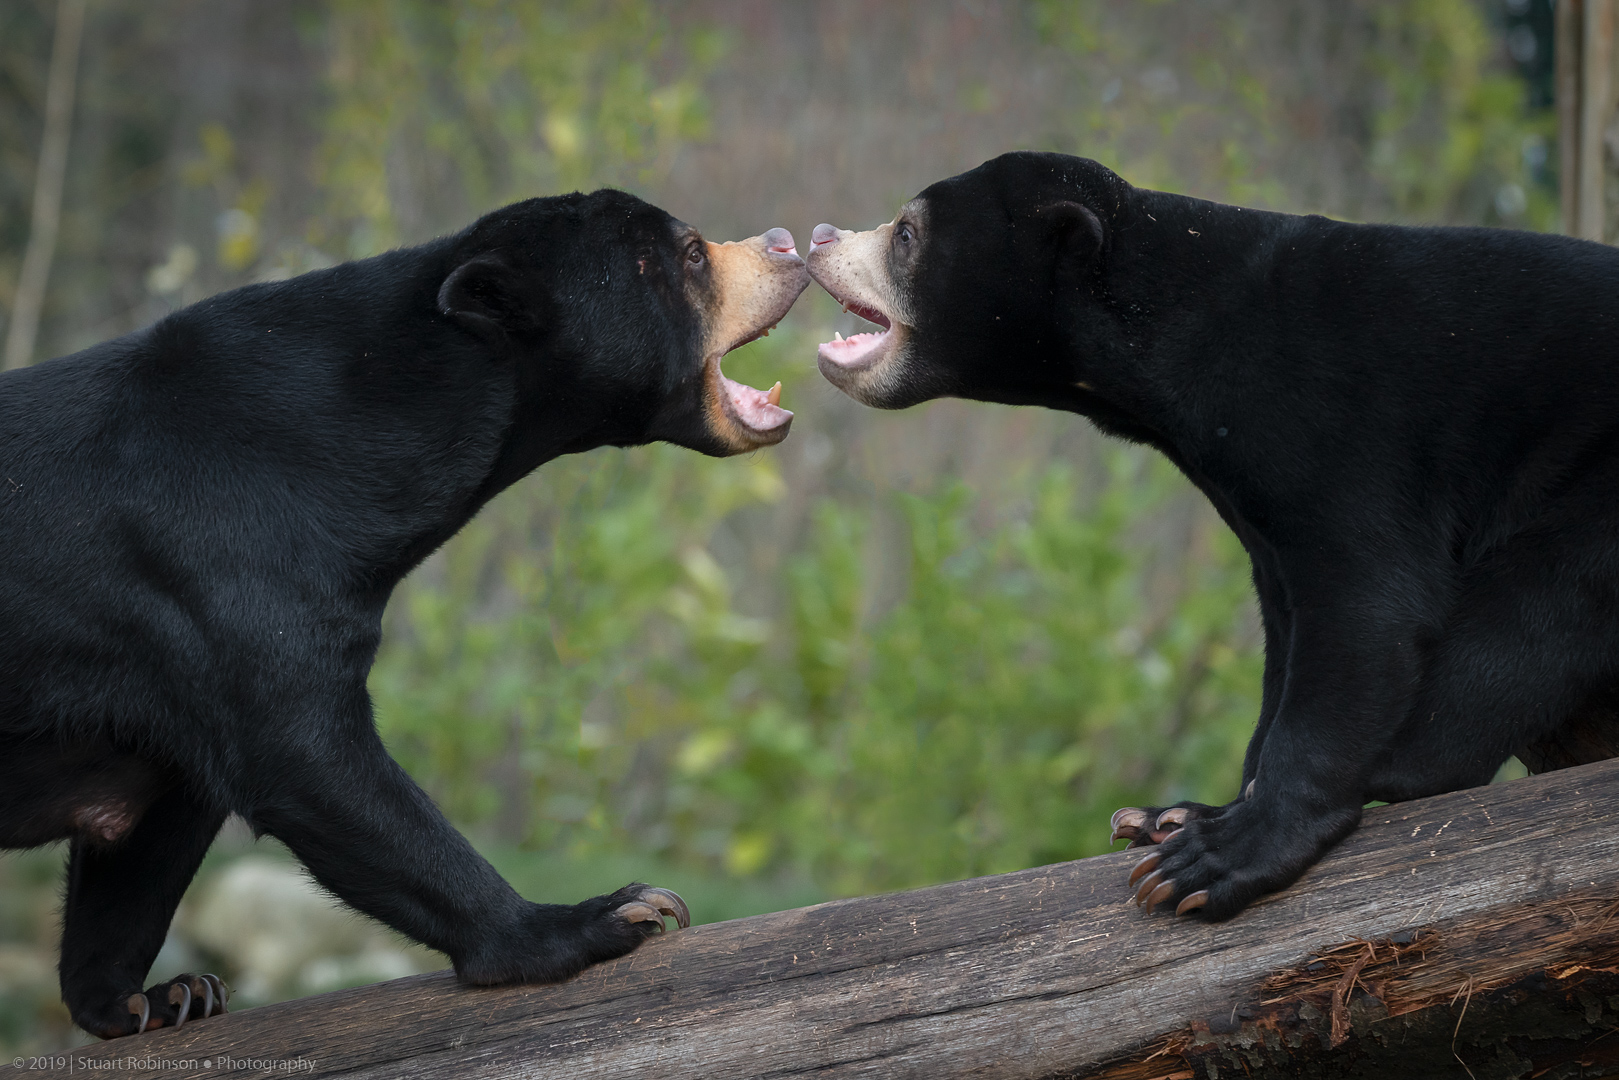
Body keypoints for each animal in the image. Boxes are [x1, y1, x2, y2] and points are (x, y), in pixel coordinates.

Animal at [0, 188, 808, 1037]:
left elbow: (149, 840)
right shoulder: (218, 578)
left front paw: (154, 998)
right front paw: (614, 914)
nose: (788, 242)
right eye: (690, 254)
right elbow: (312, 762)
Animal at [803, 150, 1619, 921]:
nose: (816, 237)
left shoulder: (1345, 433)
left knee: (1526, 611)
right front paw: (1177, 814)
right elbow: (1287, 633)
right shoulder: (1255, 511)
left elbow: (1370, 602)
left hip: (1592, 495)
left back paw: (1405, 765)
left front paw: (1208, 859)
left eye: (906, 234)